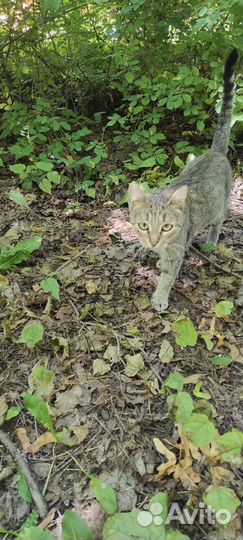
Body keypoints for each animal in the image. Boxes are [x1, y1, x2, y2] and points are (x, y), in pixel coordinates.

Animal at [128, 50, 238, 314]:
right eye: (143, 226)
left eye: (167, 227)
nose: (153, 241)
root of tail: (215, 152)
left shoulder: (176, 250)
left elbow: (168, 276)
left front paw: (160, 297)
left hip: (220, 207)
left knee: (218, 223)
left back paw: (211, 243)